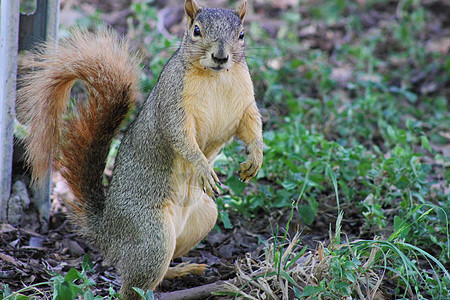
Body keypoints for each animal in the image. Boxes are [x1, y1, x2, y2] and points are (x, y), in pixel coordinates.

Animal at [17, 0, 262, 298]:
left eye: (241, 35)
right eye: (196, 30)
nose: (220, 57)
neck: (216, 78)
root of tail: (109, 232)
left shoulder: (245, 104)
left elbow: (252, 127)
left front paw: (256, 159)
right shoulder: (173, 104)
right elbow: (181, 138)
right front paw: (203, 167)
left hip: (203, 218)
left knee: (156, 268)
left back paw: (180, 270)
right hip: (151, 236)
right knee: (132, 286)